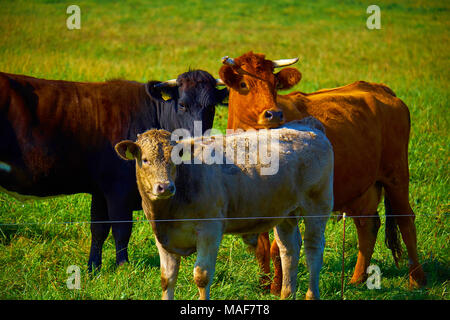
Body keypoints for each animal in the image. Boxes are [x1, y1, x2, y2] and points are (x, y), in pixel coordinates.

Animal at [0, 69, 227, 270]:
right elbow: (121, 228)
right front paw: (122, 266)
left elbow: (98, 229)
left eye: (211, 107)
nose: (199, 140)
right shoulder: (118, 189)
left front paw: (93, 268)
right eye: (182, 105)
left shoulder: (101, 191)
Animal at [220, 51, 428, 294]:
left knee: (406, 221)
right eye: (244, 84)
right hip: (360, 185)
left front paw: (276, 288)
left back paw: (417, 279)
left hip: (396, 174)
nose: (274, 114)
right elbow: (262, 247)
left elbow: (277, 248)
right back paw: (356, 280)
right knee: (367, 225)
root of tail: (379, 88)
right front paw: (263, 285)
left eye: (275, 84)